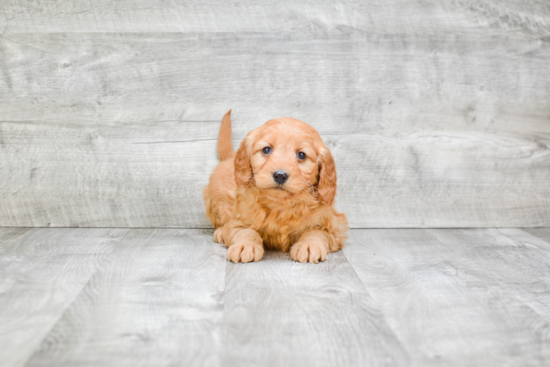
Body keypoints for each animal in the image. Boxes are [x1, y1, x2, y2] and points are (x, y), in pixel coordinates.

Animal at [203, 110, 350, 264]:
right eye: (266, 149)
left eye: (301, 155)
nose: (280, 175)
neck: (281, 204)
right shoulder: (238, 219)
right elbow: (245, 231)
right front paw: (245, 245)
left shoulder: (334, 226)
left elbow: (316, 231)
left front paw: (309, 245)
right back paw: (220, 232)